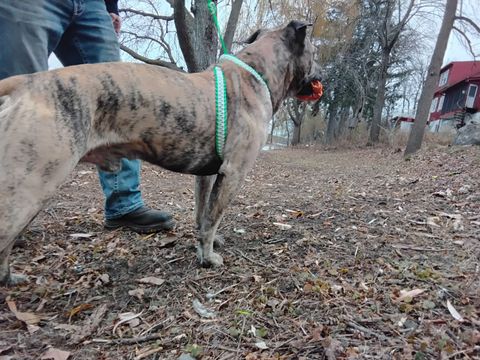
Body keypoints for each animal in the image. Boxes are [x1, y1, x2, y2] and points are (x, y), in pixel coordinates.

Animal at [0, 20, 322, 284]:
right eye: (314, 52)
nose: (322, 74)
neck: (256, 74)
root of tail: (29, 82)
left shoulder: (206, 176)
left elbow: (203, 215)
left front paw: (205, 244)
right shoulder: (232, 174)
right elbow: (213, 218)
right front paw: (207, 258)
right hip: (32, 185)